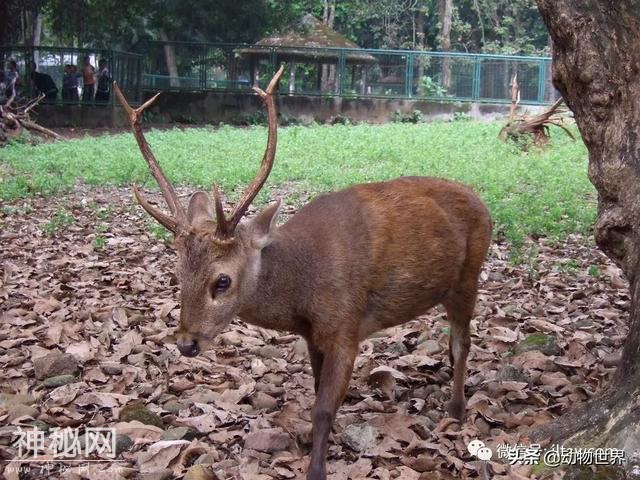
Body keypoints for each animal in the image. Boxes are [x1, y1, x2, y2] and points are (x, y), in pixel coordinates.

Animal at [115, 66, 492, 480]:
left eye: (222, 281)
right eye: (178, 273)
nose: (186, 343)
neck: (303, 292)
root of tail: (484, 204)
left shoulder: (346, 326)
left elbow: (323, 407)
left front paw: (317, 468)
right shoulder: (314, 335)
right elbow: (315, 389)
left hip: (469, 275)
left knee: (462, 343)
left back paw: (456, 410)